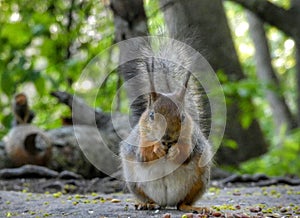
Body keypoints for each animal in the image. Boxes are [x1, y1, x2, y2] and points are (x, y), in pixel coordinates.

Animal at [120, 38, 213, 213]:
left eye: (183, 117)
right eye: (151, 115)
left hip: (199, 180)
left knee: (182, 203)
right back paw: (146, 204)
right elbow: (143, 155)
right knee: (149, 198)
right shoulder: (140, 139)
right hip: (135, 183)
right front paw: (157, 148)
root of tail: (166, 202)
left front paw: (175, 151)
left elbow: (186, 155)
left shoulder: (192, 140)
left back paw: (192, 207)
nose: (168, 138)